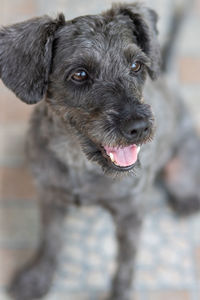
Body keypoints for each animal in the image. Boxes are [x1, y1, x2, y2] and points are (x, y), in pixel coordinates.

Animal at [0, 2, 200, 300]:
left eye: (136, 65)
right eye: (80, 74)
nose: (139, 127)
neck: (80, 162)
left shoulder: (130, 215)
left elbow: (126, 264)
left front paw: (121, 293)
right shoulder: (49, 197)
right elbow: (50, 240)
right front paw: (37, 278)